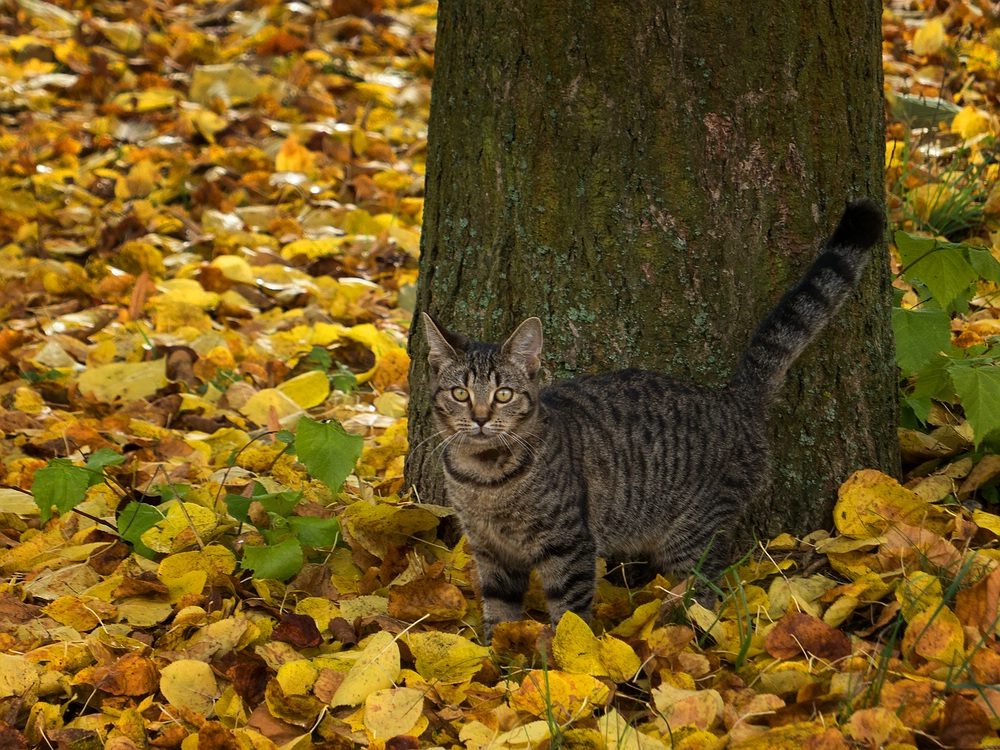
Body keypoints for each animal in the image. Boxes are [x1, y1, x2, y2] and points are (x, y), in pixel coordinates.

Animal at [422, 201, 884, 648]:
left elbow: (570, 612)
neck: (484, 477)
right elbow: (499, 612)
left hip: (694, 532)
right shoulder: (490, 552)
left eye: (503, 394)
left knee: (706, 593)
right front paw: (495, 659)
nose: (481, 417)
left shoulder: (568, 545)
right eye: (460, 394)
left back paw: (686, 635)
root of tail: (733, 401)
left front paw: (568, 655)